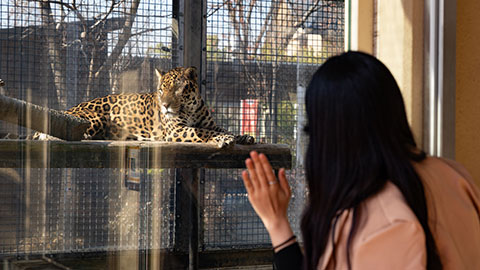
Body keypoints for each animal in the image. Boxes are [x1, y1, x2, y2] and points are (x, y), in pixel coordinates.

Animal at [49, 66, 255, 149]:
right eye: (161, 89)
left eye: (177, 89)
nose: (165, 106)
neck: (190, 107)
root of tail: (67, 109)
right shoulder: (176, 130)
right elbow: (205, 133)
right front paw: (225, 139)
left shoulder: (210, 124)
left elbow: (223, 128)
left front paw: (244, 136)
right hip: (94, 117)